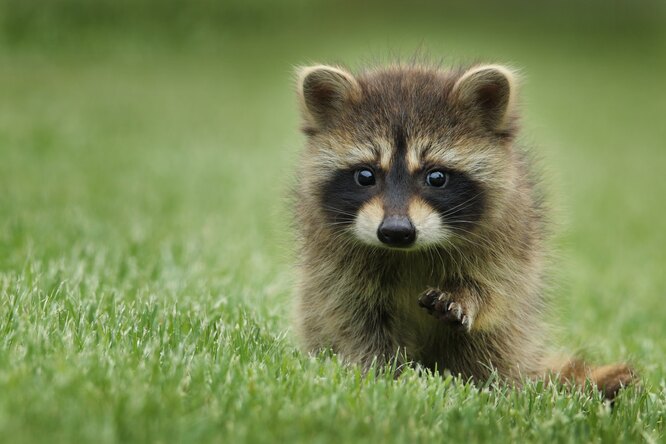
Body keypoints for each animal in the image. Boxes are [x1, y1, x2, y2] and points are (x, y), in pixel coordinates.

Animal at [292, 61, 632, 398]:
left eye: (436, 177)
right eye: (365, 176)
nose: (396, 231)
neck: (410, 252)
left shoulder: (509, 234)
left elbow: (496, 288)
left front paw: (467, 296)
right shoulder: (334, 261)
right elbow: (353, 317)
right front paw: (383, 374)